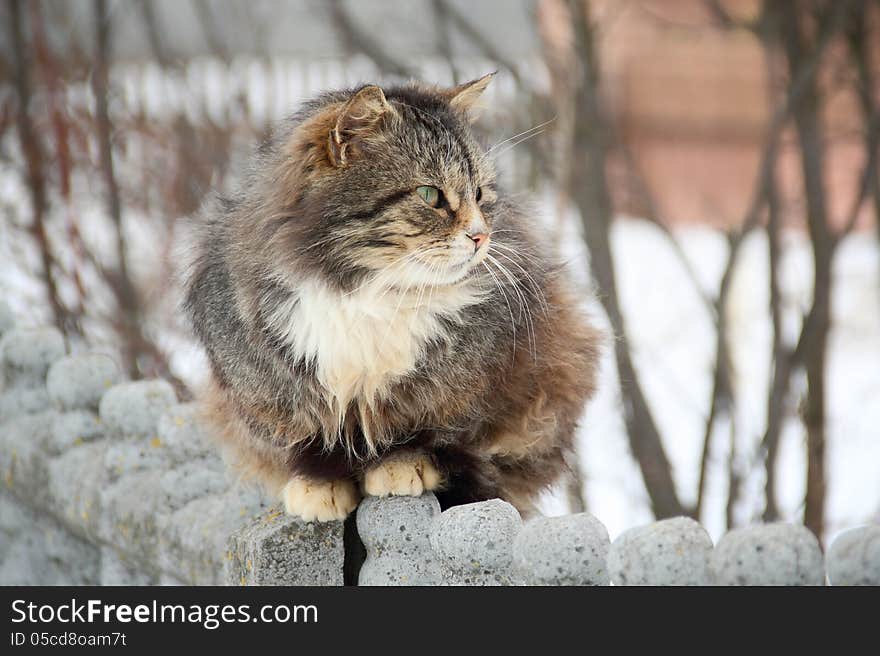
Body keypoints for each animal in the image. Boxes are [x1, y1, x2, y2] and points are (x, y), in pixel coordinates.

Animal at [182, 74, 600, 520]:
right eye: (430, 195)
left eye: (480, 194)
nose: (481, 236)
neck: (367, 293)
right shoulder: (268, 386)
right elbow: (310, 442)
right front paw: (318, 485)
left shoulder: (451, 390)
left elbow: (413, 434)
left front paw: (399, 467)